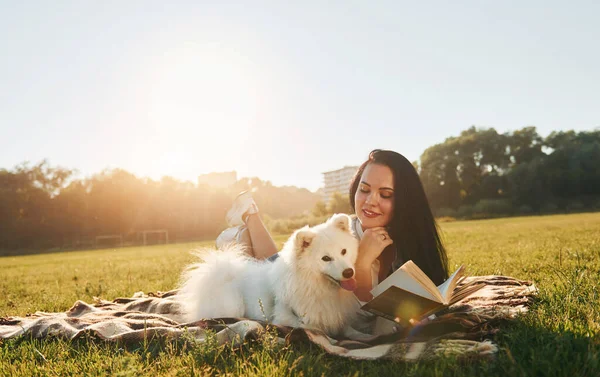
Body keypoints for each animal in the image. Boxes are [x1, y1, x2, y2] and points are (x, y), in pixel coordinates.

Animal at [178, 213, 366, 336]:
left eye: (344, 251)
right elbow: (318, 330)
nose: (348, 272)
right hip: (231, 304)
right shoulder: (290, 320)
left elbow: (351, 330)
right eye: (326, 258)